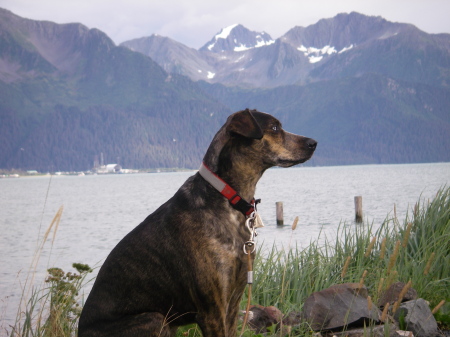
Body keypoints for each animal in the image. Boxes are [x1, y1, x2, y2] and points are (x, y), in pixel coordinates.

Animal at [77, 109, 316, 334]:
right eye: (274, 128)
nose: (314, 143)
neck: (227, 198)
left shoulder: (233, 301)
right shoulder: (211, 309)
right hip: (155, 319)